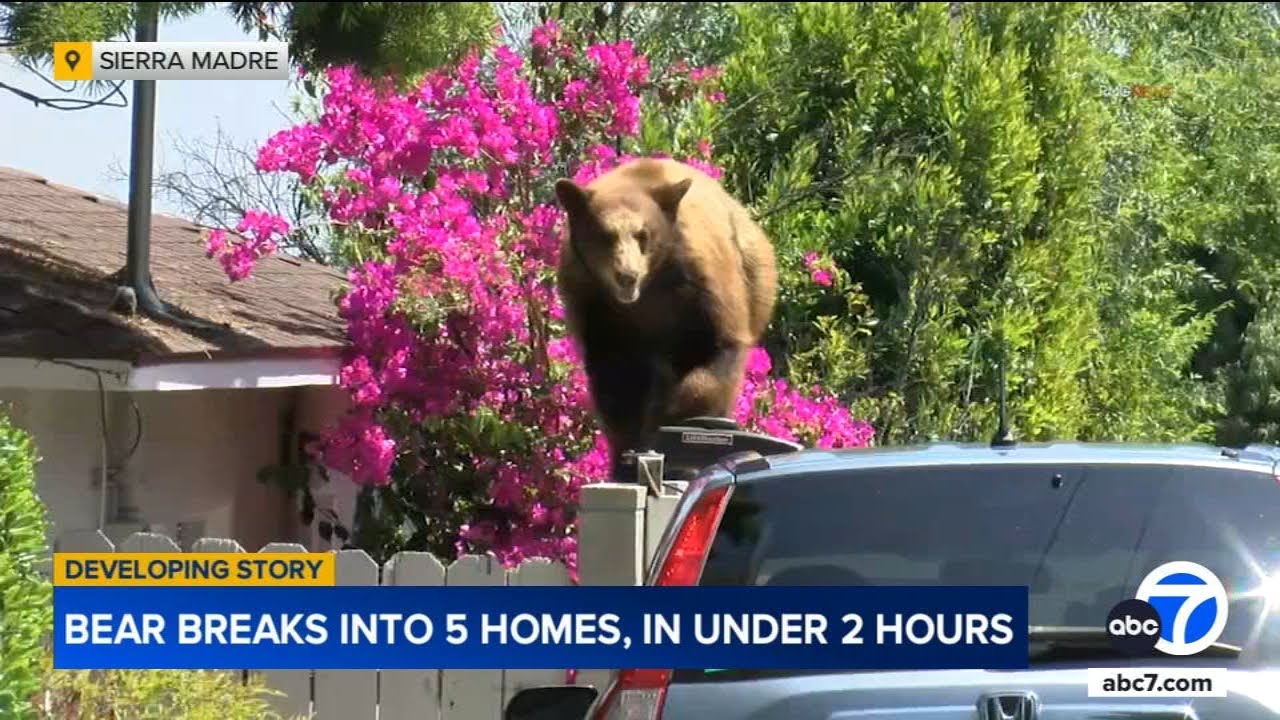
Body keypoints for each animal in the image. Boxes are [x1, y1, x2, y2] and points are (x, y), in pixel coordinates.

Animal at [552, 157, 779, 478]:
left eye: (643, 234)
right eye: (605, 236)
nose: (627, 275)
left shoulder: (701, 286)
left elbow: (716, 350)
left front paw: (677, 415)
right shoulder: (596, 306)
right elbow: (616, 383)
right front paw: (628, 452)